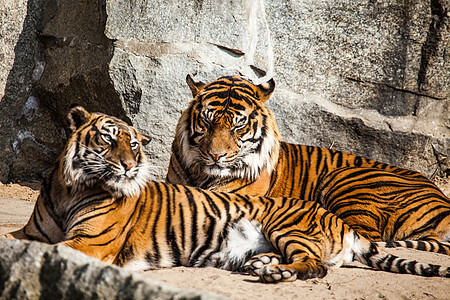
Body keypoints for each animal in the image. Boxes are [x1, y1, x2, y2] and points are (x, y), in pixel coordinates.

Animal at [4, 106, 450, 282]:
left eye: (134, 145)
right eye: (108, 140)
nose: (130, 166)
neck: (69, 187)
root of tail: (336, 219)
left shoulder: (90, 242)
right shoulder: (33, 232)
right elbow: (12, 237)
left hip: (290, 225)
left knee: (316, 266)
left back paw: (274, 274)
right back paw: (263, 265)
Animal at [165, 74, 450, 247]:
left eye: (238, 126)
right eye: (207, 122)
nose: (216, 155)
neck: (203, 172)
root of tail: (443, 199)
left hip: (344, 178)